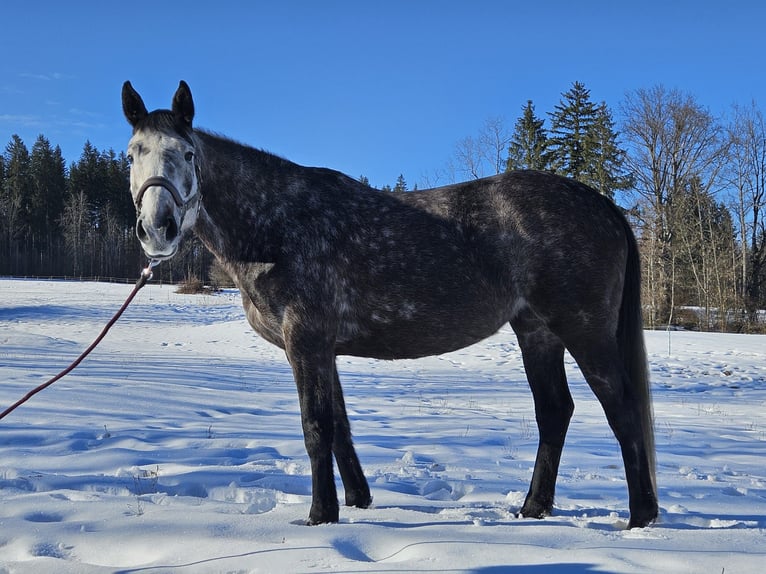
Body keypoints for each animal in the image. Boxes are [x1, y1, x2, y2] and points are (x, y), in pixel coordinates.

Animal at [121, 80, 658, 528]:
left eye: (188, 153)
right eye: (131, 155)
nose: (157, 229)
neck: (275, 226)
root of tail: (602, 204)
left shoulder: (306, 342)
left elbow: (316, 427)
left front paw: (319, 516)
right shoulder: (324, 349)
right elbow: (339, 427)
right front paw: (357, 501)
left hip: (584, 330)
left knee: (621, 407)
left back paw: (640, 518)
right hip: (536, 332)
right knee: (554, 411)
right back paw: (533, 508)